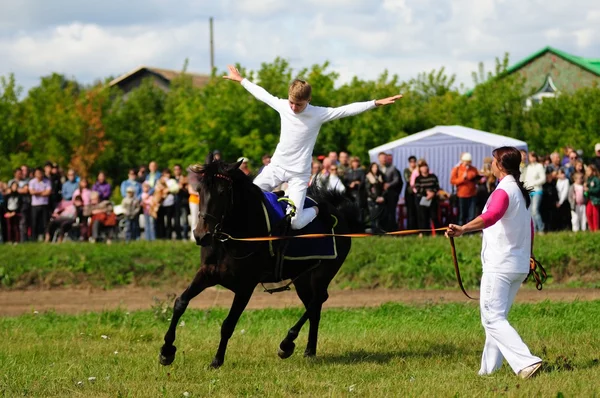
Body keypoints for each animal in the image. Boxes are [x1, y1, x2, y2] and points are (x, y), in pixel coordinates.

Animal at [158, 157, 360, 368]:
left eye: (222, 192)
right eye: (199, 190)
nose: (200, 235)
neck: (233, 237)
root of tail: (341, 214)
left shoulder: (245, 286)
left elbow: (228, 324)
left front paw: (217, 360)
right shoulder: (207, 273)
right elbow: (180, 303)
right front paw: (166, 350)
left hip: (323, 272)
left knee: (318, 299)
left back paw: (287, 343)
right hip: (302, 278)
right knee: (314, 307)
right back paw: (309, 350)